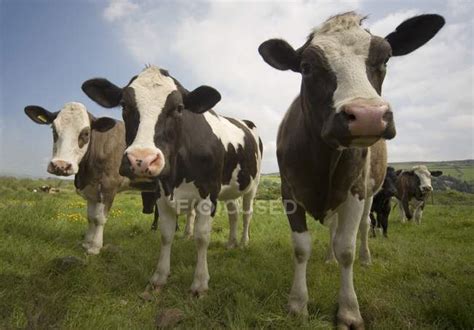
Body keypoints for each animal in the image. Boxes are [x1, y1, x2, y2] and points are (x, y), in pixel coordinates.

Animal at [25, 103, 168, 255]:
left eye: (86, 133)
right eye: (53, 129)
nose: (60, 165)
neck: (86, 174)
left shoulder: (108, 187)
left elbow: (99, 218)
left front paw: (95, 247)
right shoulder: (91, 191)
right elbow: (90, 217)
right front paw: (86, 243)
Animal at [83, 65, 264, 296]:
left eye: (179, 108)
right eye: (124, 105)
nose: (141, 160)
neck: (176, 175)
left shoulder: (208, 193)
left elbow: (202, 237)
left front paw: (200, 283)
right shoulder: (161, 193)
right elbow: (166, 234)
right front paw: (159, 277)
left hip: (252, 185)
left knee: (247, 213)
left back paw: (243, 242)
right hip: (230, 188)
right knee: (233, 213)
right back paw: (231, 243)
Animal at [258, 10, 442, 328]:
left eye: (386, 58)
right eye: (306, 67)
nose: (367, 115)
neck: (322, 158)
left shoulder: (355, 191)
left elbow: (347, 248)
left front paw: (349, 311)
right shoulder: (289, 191)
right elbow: (301, 247)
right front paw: (297, 303)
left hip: (371, 193)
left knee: (365, 228)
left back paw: (365, 258)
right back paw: (328, 258)